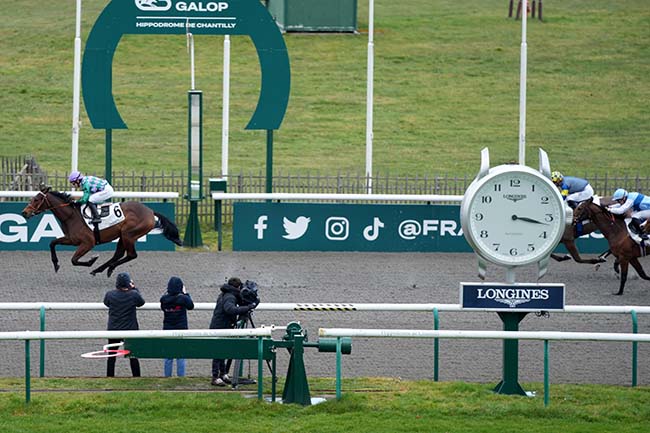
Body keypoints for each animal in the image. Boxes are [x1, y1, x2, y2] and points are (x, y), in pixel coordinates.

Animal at [21, 186, 182, 276]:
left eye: (36, 200)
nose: (24, 212)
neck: (71, 215)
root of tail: (150, 211)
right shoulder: (72, 239)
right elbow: (52, 243)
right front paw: (55, 264)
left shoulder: (88, 242)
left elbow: (74, 260)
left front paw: (91, 260)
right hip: (123, 236)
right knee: (119, 254)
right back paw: (102, 269)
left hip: (129, 234)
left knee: (131, 255)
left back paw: (106, 268)